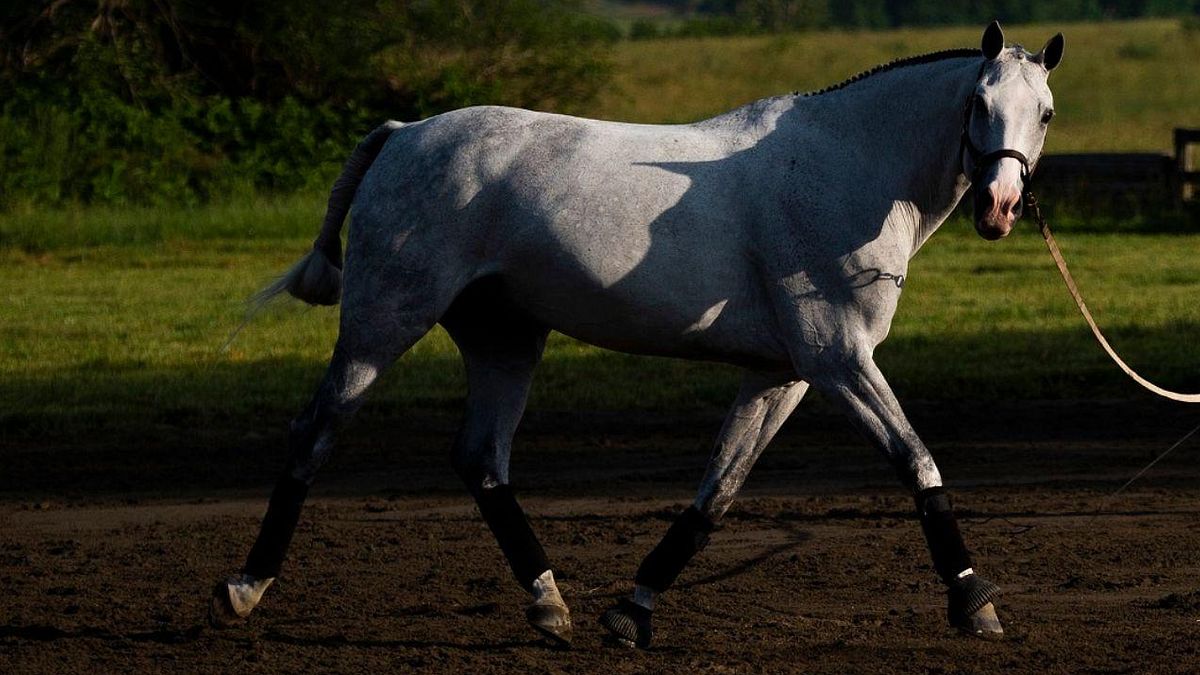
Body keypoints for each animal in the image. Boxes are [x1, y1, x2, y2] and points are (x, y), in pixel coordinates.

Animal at [210, 21, 1064, 648]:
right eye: (978, 102)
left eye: (1045, 113)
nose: (999, 205)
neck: (845, 167)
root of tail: (404, 130)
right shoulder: (839, 360)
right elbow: (916, 460)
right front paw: (973, 601)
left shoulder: (782, 372)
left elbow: (718, 490)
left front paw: (633, 609)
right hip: (383, 320)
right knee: (315, 432)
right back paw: (244, 589)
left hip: (504, 339)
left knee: (482, 459)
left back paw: (550, 605)